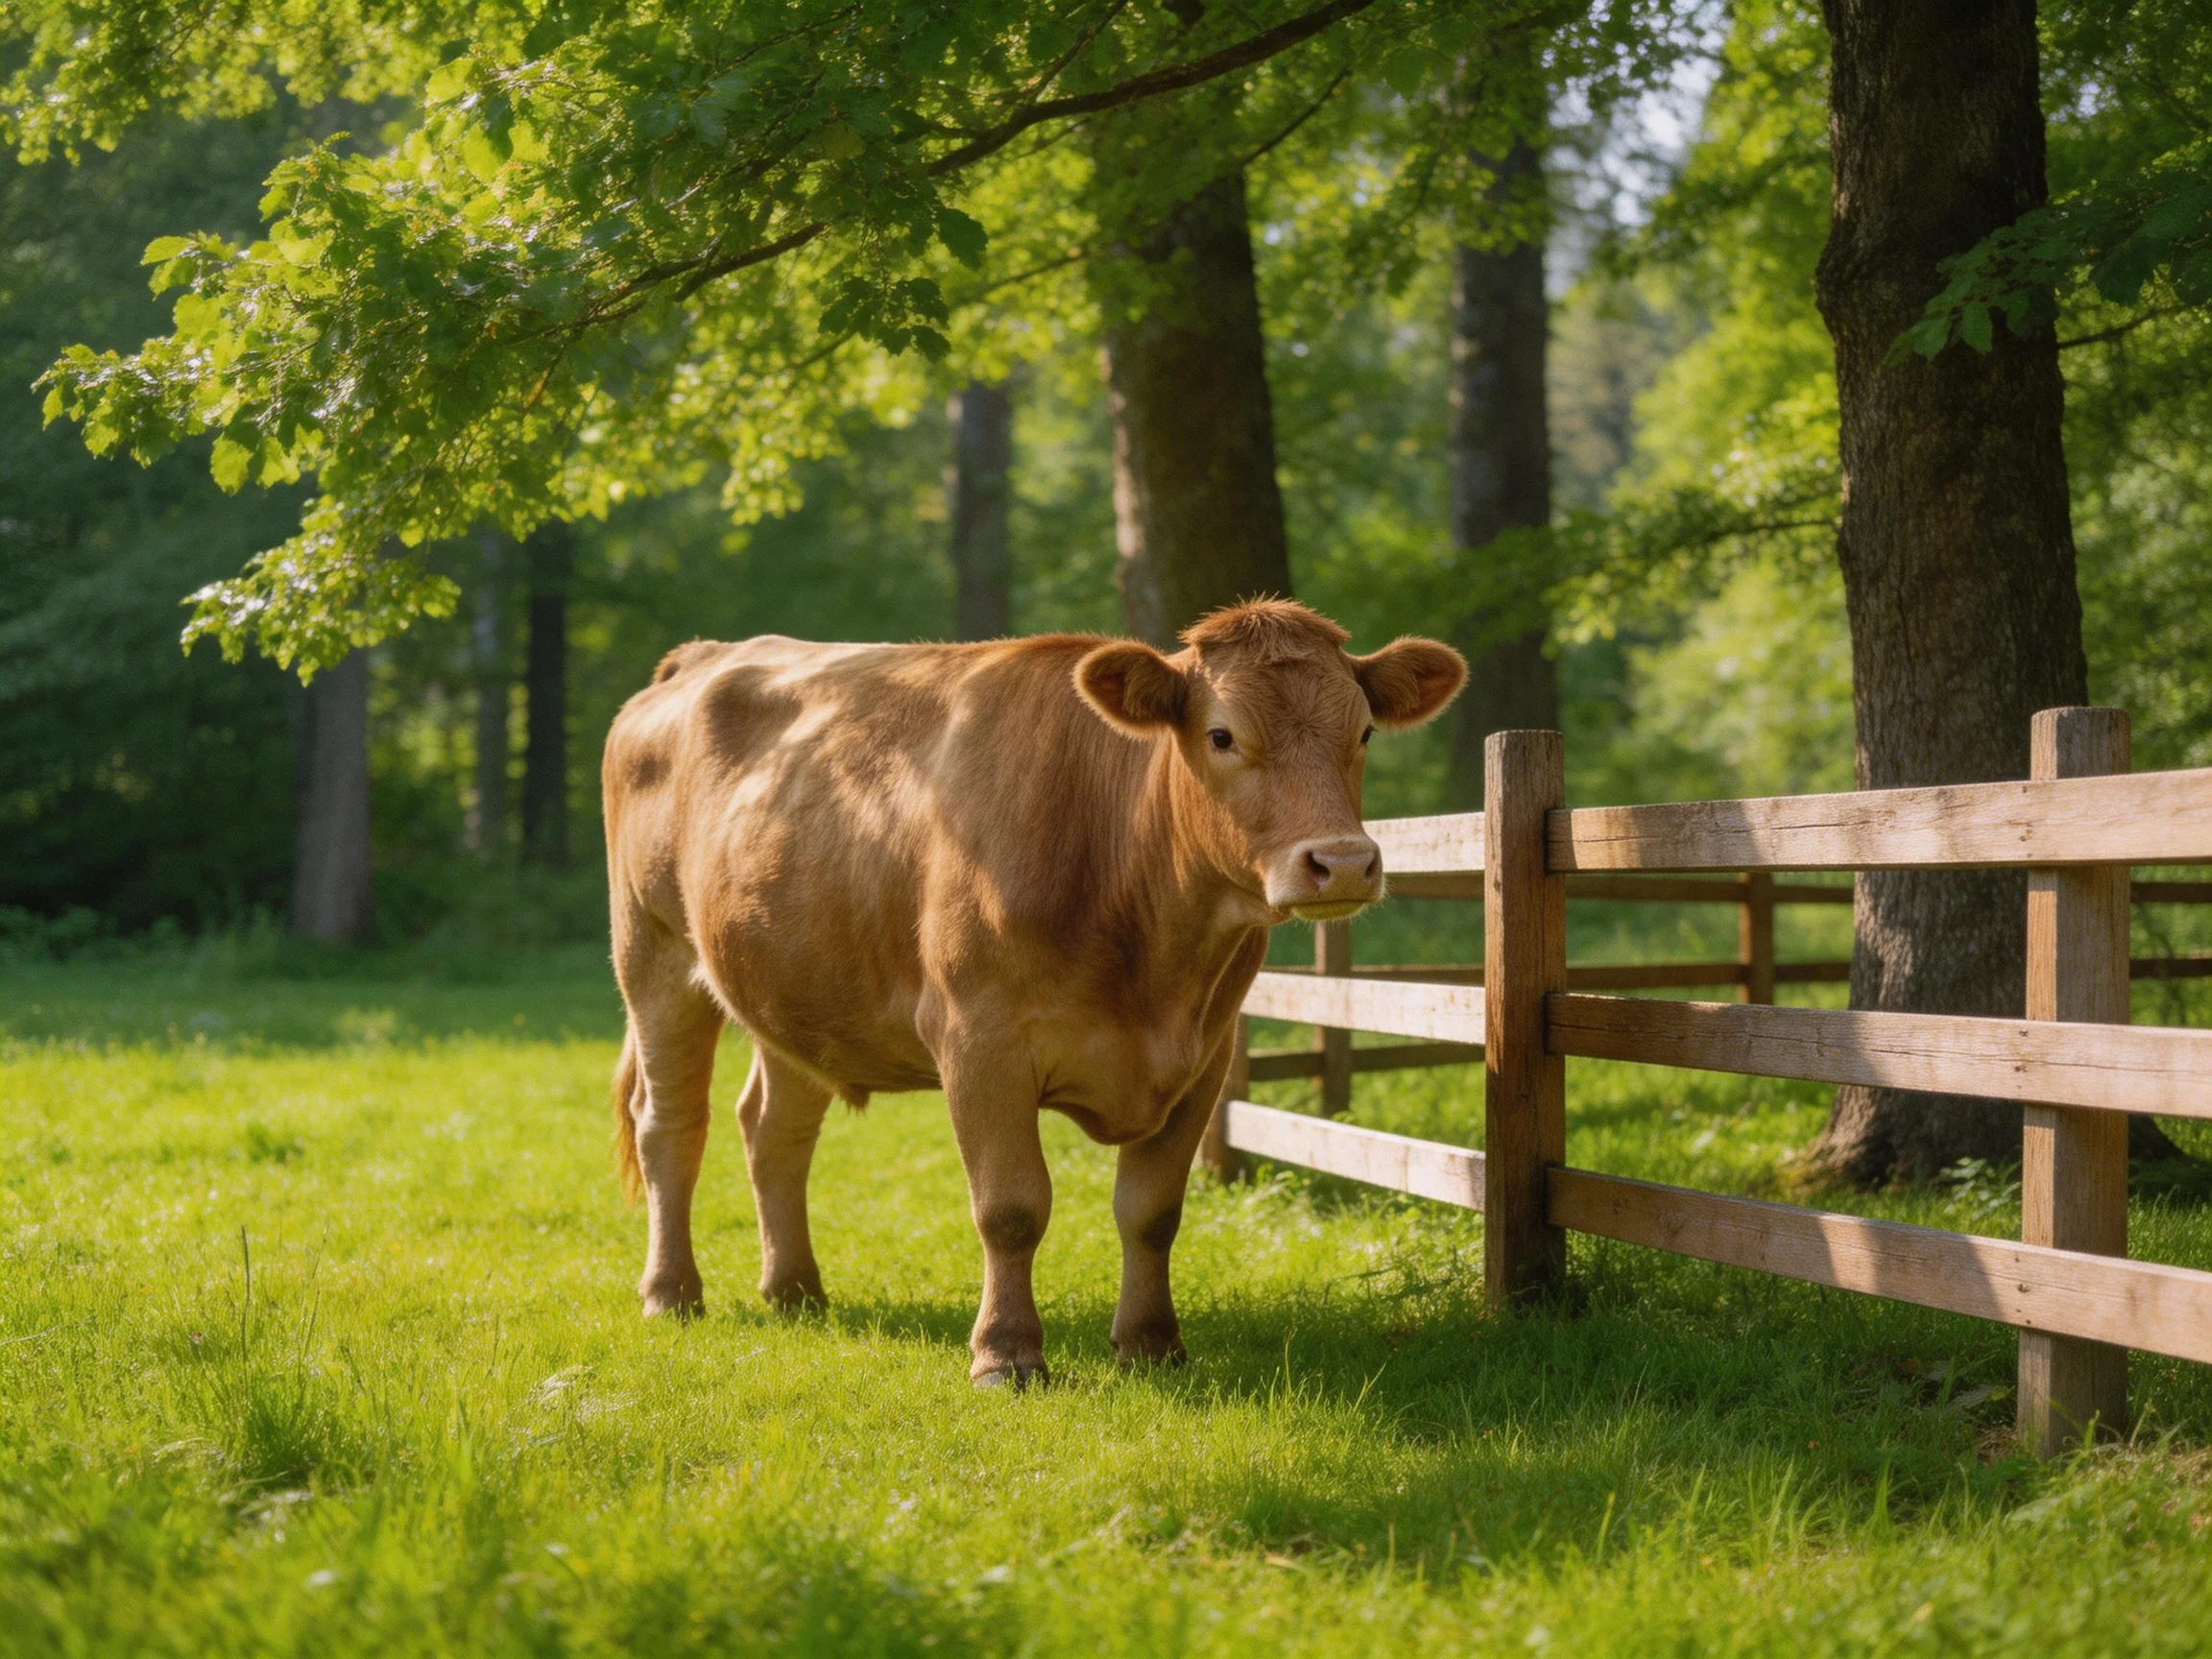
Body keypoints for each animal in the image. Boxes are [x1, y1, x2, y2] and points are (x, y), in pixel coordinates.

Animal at [601, 598, 1465, 1385]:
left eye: (1364, 732)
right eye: (1221, 735)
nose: (1343, 863)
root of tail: (704, 654)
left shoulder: (1205, 1055)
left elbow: (1152, 1211)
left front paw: (1151, 1344)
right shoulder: (979, 1043)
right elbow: (1012, 1209)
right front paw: (1006, 1354)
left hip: (796, 988)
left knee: (773, 1129)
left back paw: (795, 1291)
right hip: (654, 954)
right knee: (670, 1125)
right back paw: (671, 1292)